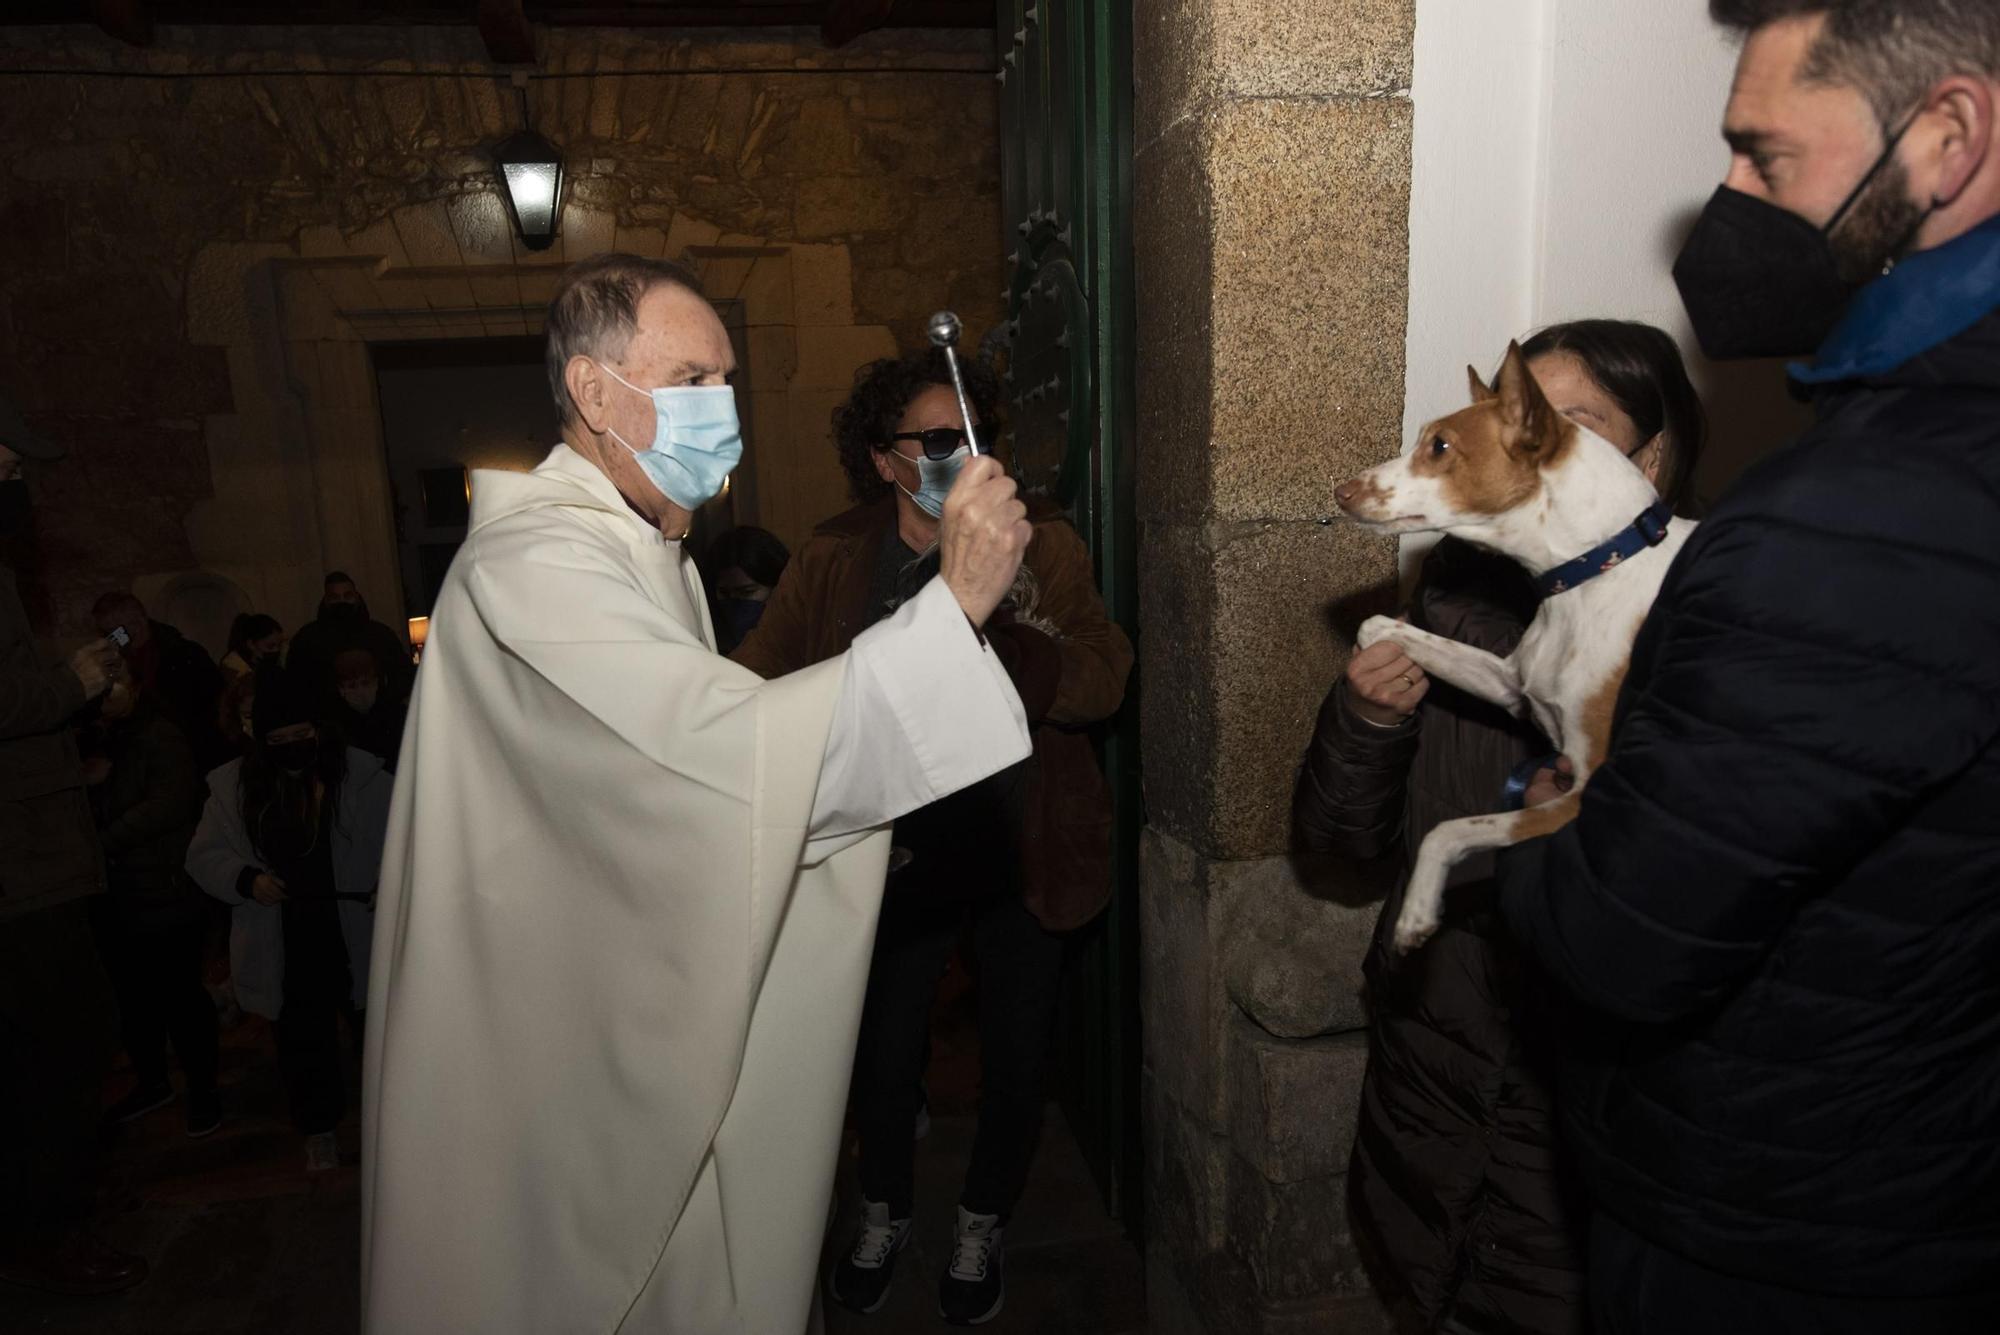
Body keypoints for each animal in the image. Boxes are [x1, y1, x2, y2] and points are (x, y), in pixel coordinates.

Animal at [1336, 341, 1696, 947]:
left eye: (1440, 446)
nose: (1340, 492)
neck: (1595, 571)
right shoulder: (1511, 685)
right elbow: (1381, 627)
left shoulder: (1584, 792)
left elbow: (1449, 830)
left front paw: (1417, 910)